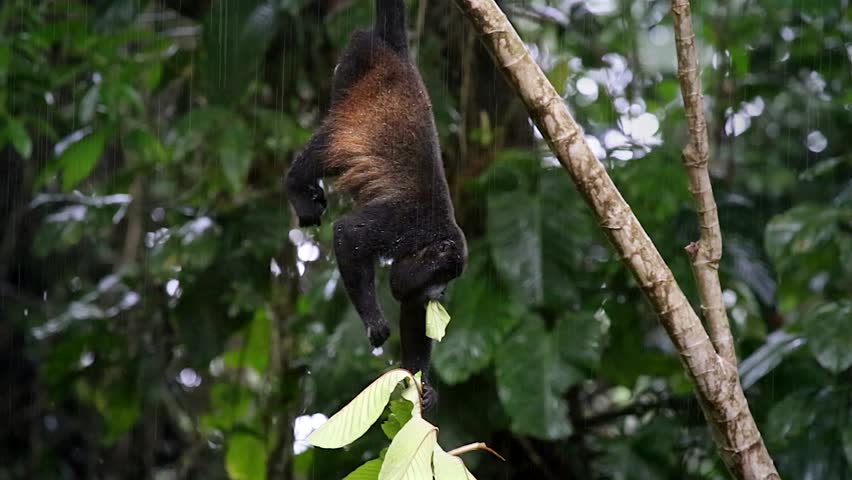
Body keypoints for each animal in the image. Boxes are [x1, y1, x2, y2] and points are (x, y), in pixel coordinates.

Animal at [285, 0, 467, 408]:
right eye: (444, 276)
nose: (442, 294)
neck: (432, 236)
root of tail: (395, 52)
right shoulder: (402, 222)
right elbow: (349, 234)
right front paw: (374, 322)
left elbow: (412, 306)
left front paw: (423, 388)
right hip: (354, 63)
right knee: (330, 140)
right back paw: (298, 188)